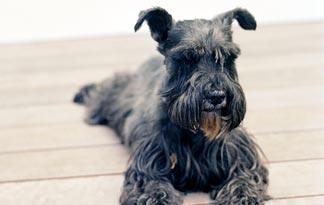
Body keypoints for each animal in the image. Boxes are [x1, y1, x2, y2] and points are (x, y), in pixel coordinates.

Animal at [74, 7, 270, 204]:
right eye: (187, 58)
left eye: (229, 58)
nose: (217, 96)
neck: (196, 131)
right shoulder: (148, 165)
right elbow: (152, 182)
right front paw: (155, 196)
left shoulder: (240, 156)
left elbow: (243, 175)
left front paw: (243, 193)